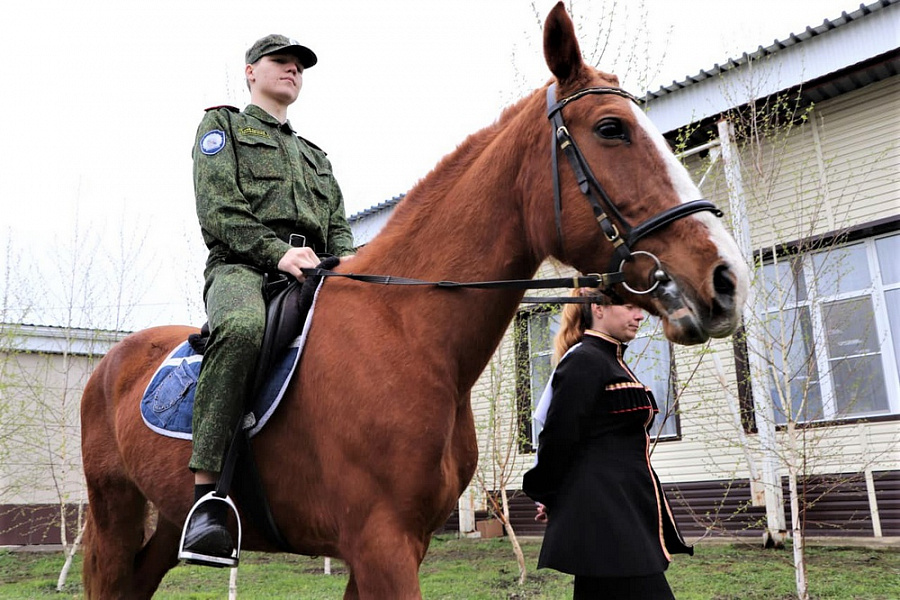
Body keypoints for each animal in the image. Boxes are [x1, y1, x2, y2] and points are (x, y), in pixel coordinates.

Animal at [81, 3, 748, 596]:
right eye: (611, 129)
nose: (727, 280)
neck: (409, 334)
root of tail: (110, 364)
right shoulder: (382, 545)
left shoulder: (400, 545)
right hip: (114, 511)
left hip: (164, 520)